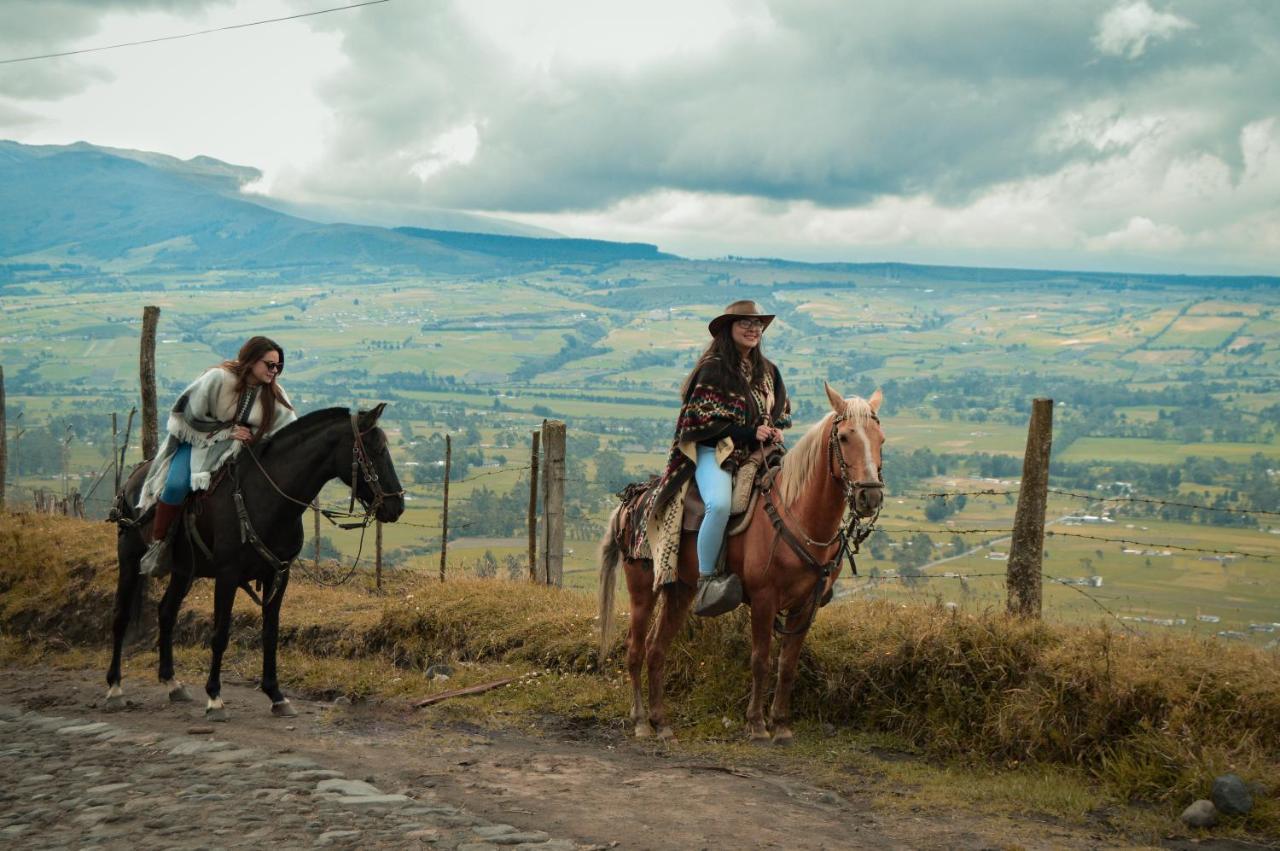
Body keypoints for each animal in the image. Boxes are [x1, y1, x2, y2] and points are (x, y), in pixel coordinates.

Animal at [108, 404, 401, 716]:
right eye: (377, 450)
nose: (397, 505)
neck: (266, 497)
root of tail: (134, 476)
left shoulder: (278, 574)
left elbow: (270, 633)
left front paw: (276, 695)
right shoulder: (227, 575)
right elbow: (220, 634)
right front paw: (215, 697)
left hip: (184, 571)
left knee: (166, 612)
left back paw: (172, 683)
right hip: (130, 558)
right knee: (121, 616)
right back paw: (115, 687)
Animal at [596, 381, 880, 742]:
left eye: (880, 439)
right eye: (844, 437)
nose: (870, 495)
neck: (797, 513)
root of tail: (631, 502)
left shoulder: (806, 605)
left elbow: (787, 665)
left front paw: (781, 724)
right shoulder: (763, 599)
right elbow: (760, 660)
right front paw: (757, 724)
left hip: (680, 589)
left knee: (656, 648)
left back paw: (662, 722)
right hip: (642, 587)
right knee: (635, 649)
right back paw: (642, 721)